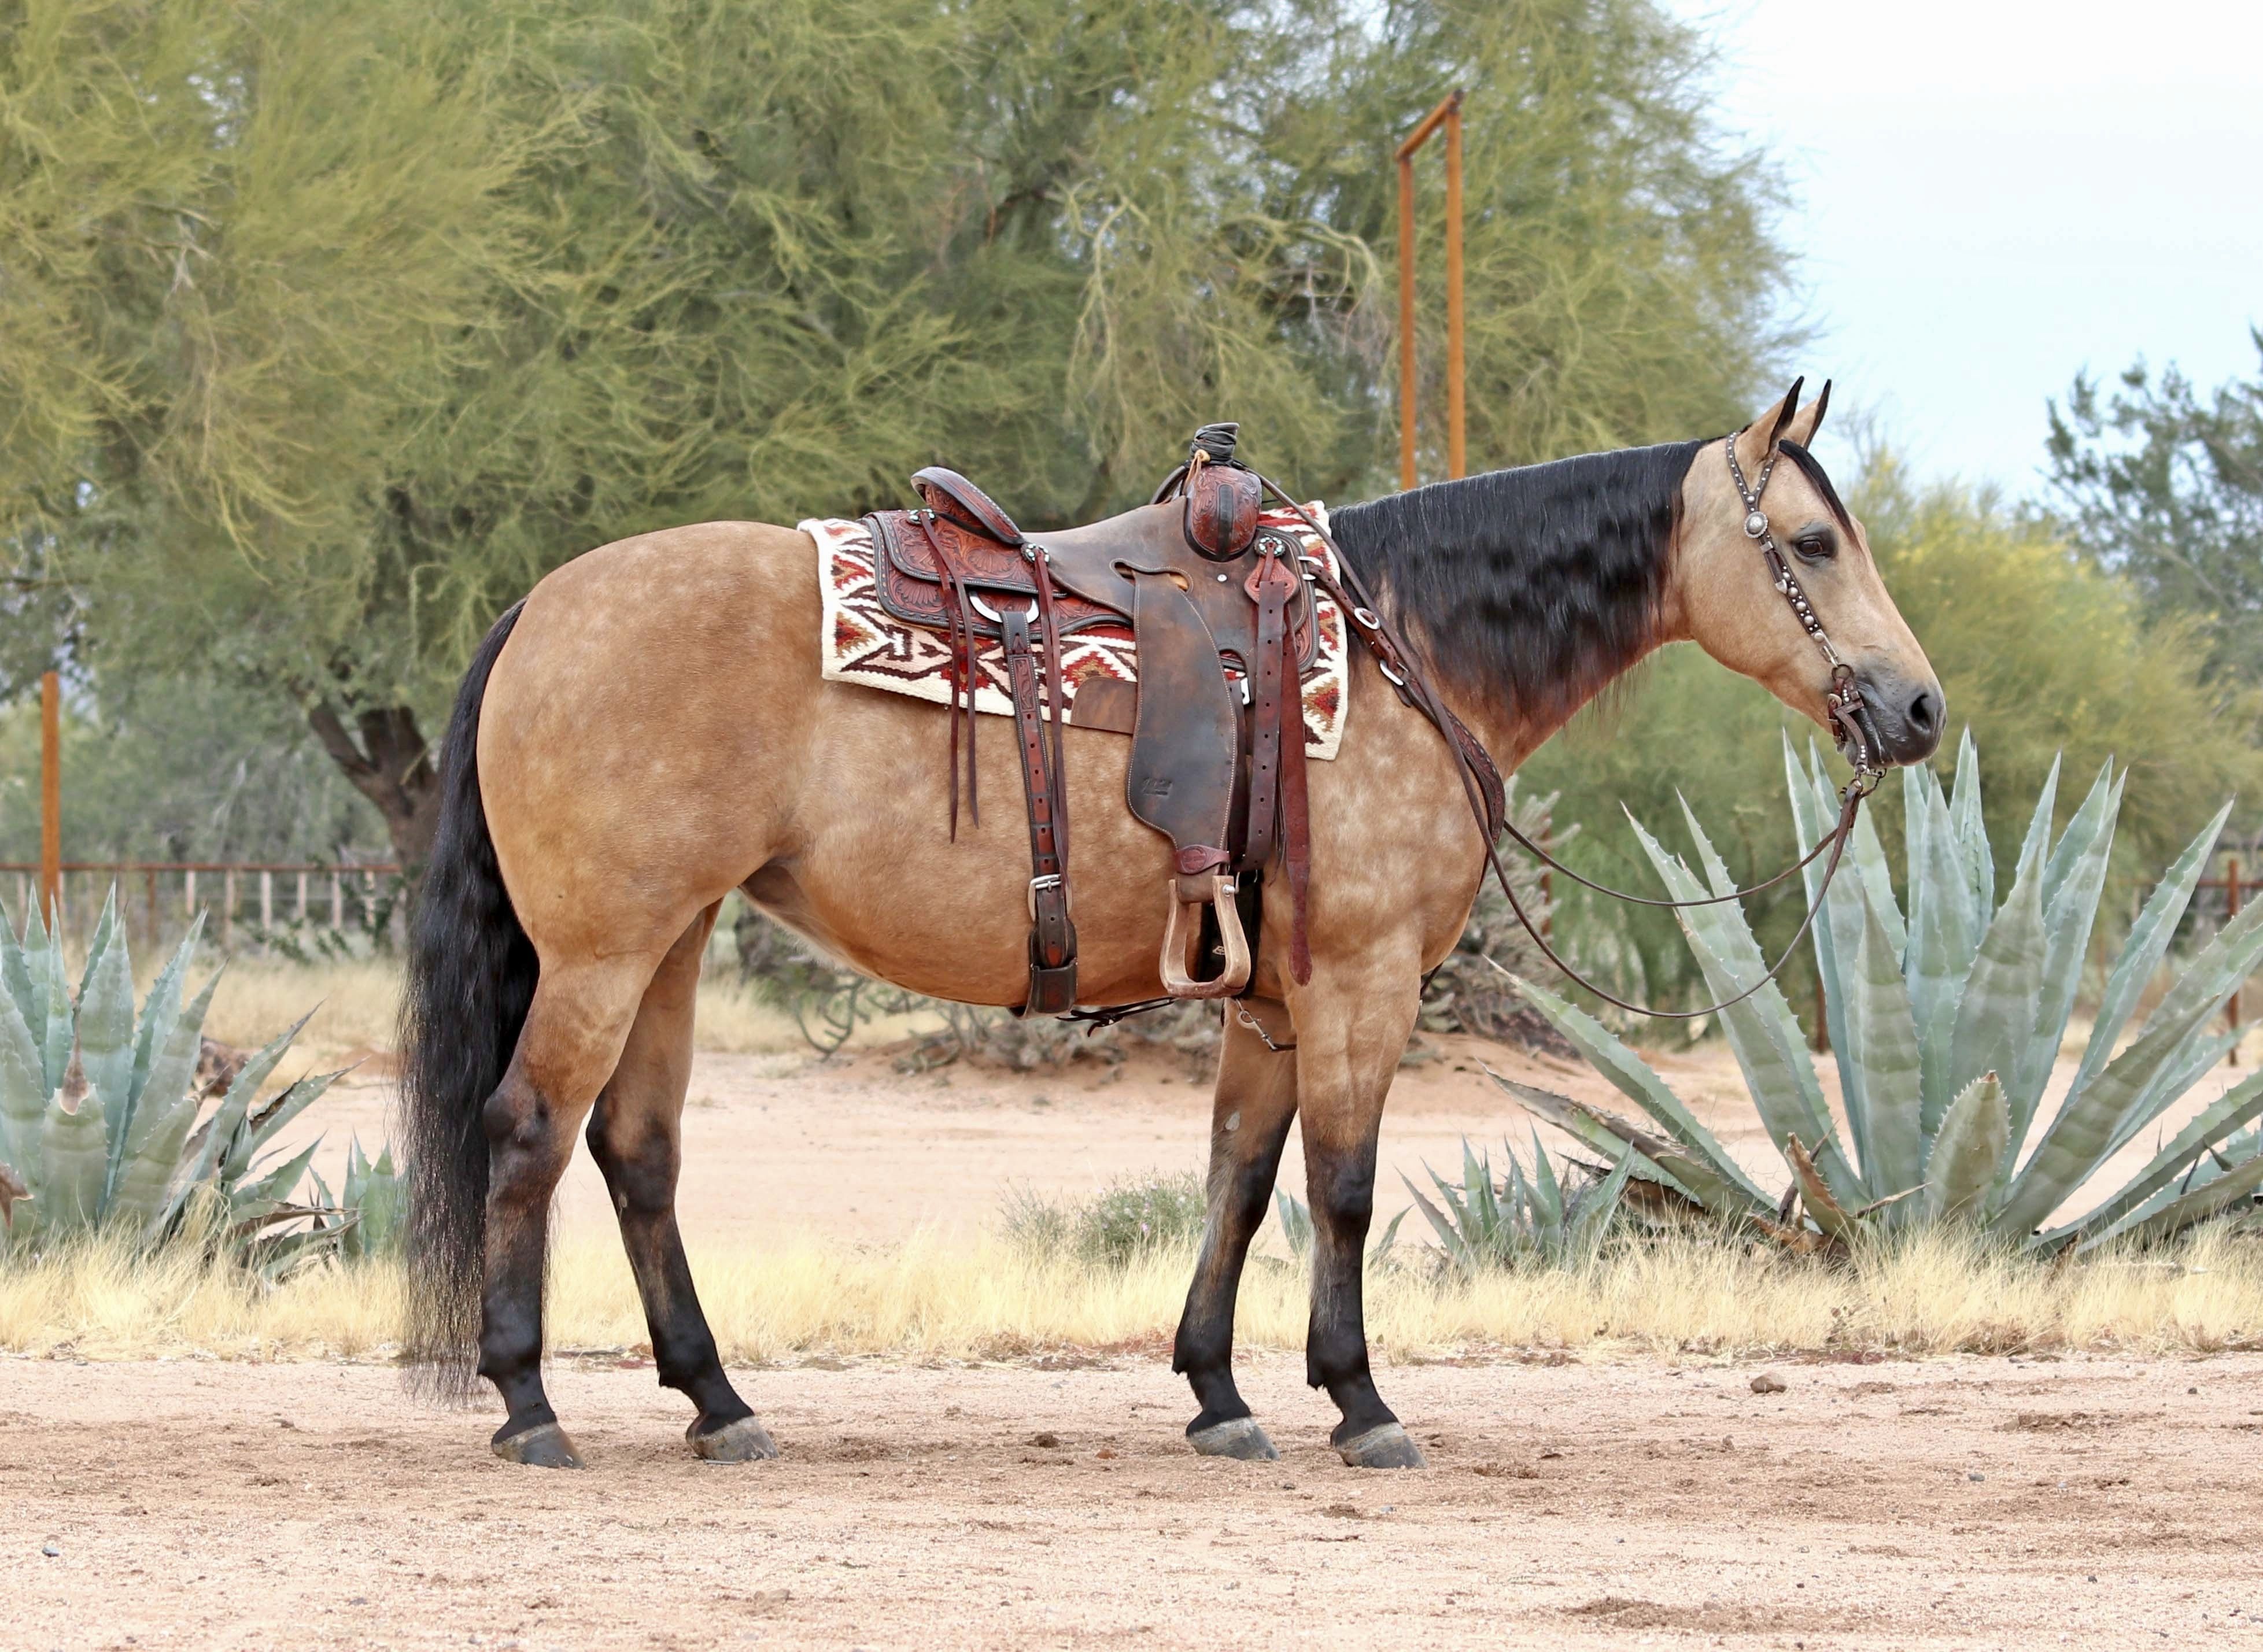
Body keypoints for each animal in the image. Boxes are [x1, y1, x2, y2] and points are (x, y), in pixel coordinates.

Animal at [393, 380, 1946, 1457]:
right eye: (1814, 540)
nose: (1921, 708)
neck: (1403, 647)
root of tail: (538, 608)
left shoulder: (1271, 1002)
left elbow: (1239, 1182)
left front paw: (1217, 1391)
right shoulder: (1362, 985)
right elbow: (1344, 1188)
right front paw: (1361, 1400)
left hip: (670, 944)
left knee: (636, 1152)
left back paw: (718, 1401)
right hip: (601, 953)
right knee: (528, 1131)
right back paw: (530, 1406)